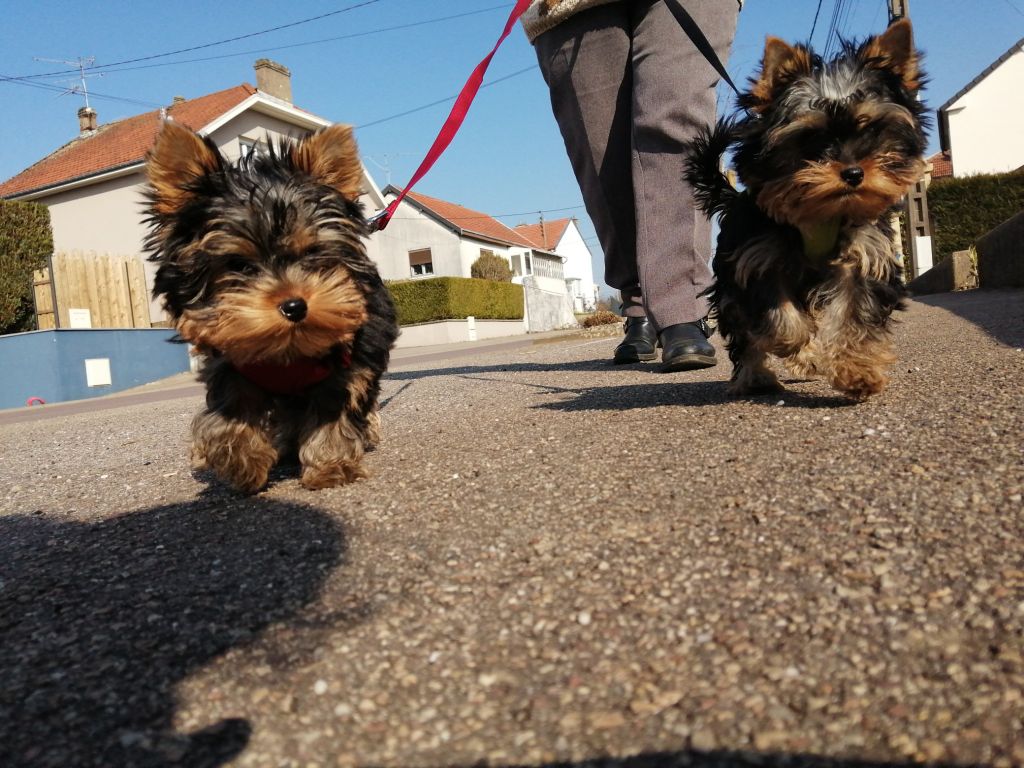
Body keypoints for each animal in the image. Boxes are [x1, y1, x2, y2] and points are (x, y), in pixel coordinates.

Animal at [143, 120, 395, 493]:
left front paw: (331, 466)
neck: (286, 350)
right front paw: (239, 460)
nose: (294, 305)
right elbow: (230, 408)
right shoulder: (231, 363)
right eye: (239, 265)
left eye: (312, 254)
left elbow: (332, 411)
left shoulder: (343, 366)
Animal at [688, 20, 929, 399]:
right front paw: (800, 349)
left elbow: (855, 312)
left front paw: (858, 370)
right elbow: (781, 320)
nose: (854, 173)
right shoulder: (757, 262)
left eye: (873, 130)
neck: (818, 214)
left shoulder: (863, 256)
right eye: (810, 137)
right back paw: (759, 375)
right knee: (745, 333)